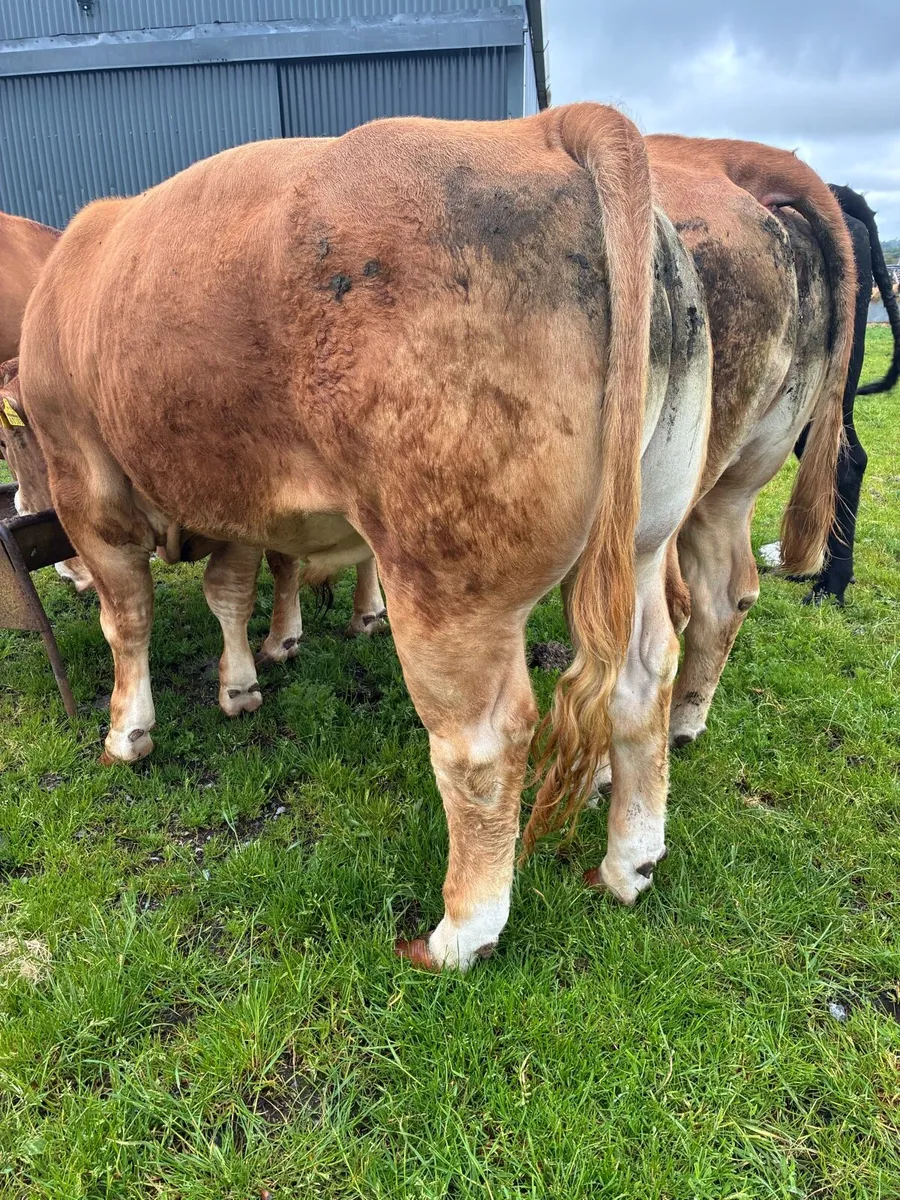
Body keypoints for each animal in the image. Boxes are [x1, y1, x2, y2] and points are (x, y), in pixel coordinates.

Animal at [18, 104, 728, 968]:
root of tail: (544, 126)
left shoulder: (86, 480)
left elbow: (126, 618)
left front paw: (128, 732)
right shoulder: (237, 492)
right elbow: (229, 592)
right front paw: (241, 683)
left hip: (443, 580)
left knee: (481, 743)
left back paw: (460, 933)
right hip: (644, 537)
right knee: (643, 677)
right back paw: (631, 863)